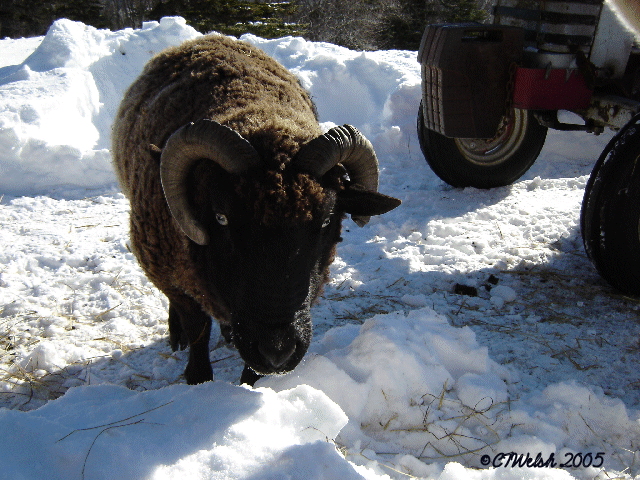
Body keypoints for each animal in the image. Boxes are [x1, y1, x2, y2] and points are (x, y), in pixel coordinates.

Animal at [111, 34, 401, 385]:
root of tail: (210, 37)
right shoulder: (170, 272)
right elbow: (197, 327)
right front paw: (198, 378)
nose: (276, 350)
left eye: (327, 220)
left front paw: (250, 384)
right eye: (221, 217)